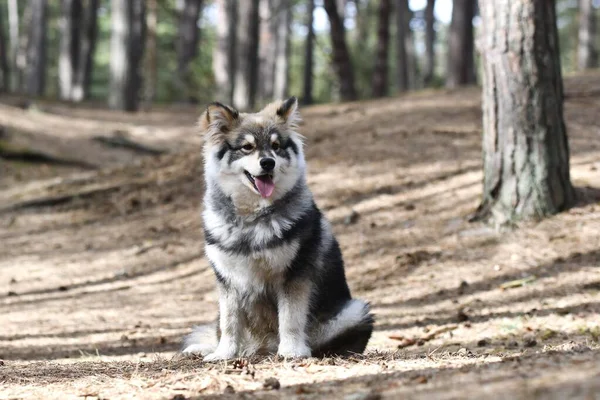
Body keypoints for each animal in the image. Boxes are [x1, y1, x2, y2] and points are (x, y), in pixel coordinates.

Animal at [180, 97, 372, 360]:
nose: (268, 162)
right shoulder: (228, 280)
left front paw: (291, 350)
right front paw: (223, 354)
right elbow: (229, 324)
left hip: (354, 311)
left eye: (276, 146)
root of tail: (263, 348)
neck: (252, 218)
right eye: (247, 147)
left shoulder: (293, 275)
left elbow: (290, 318)